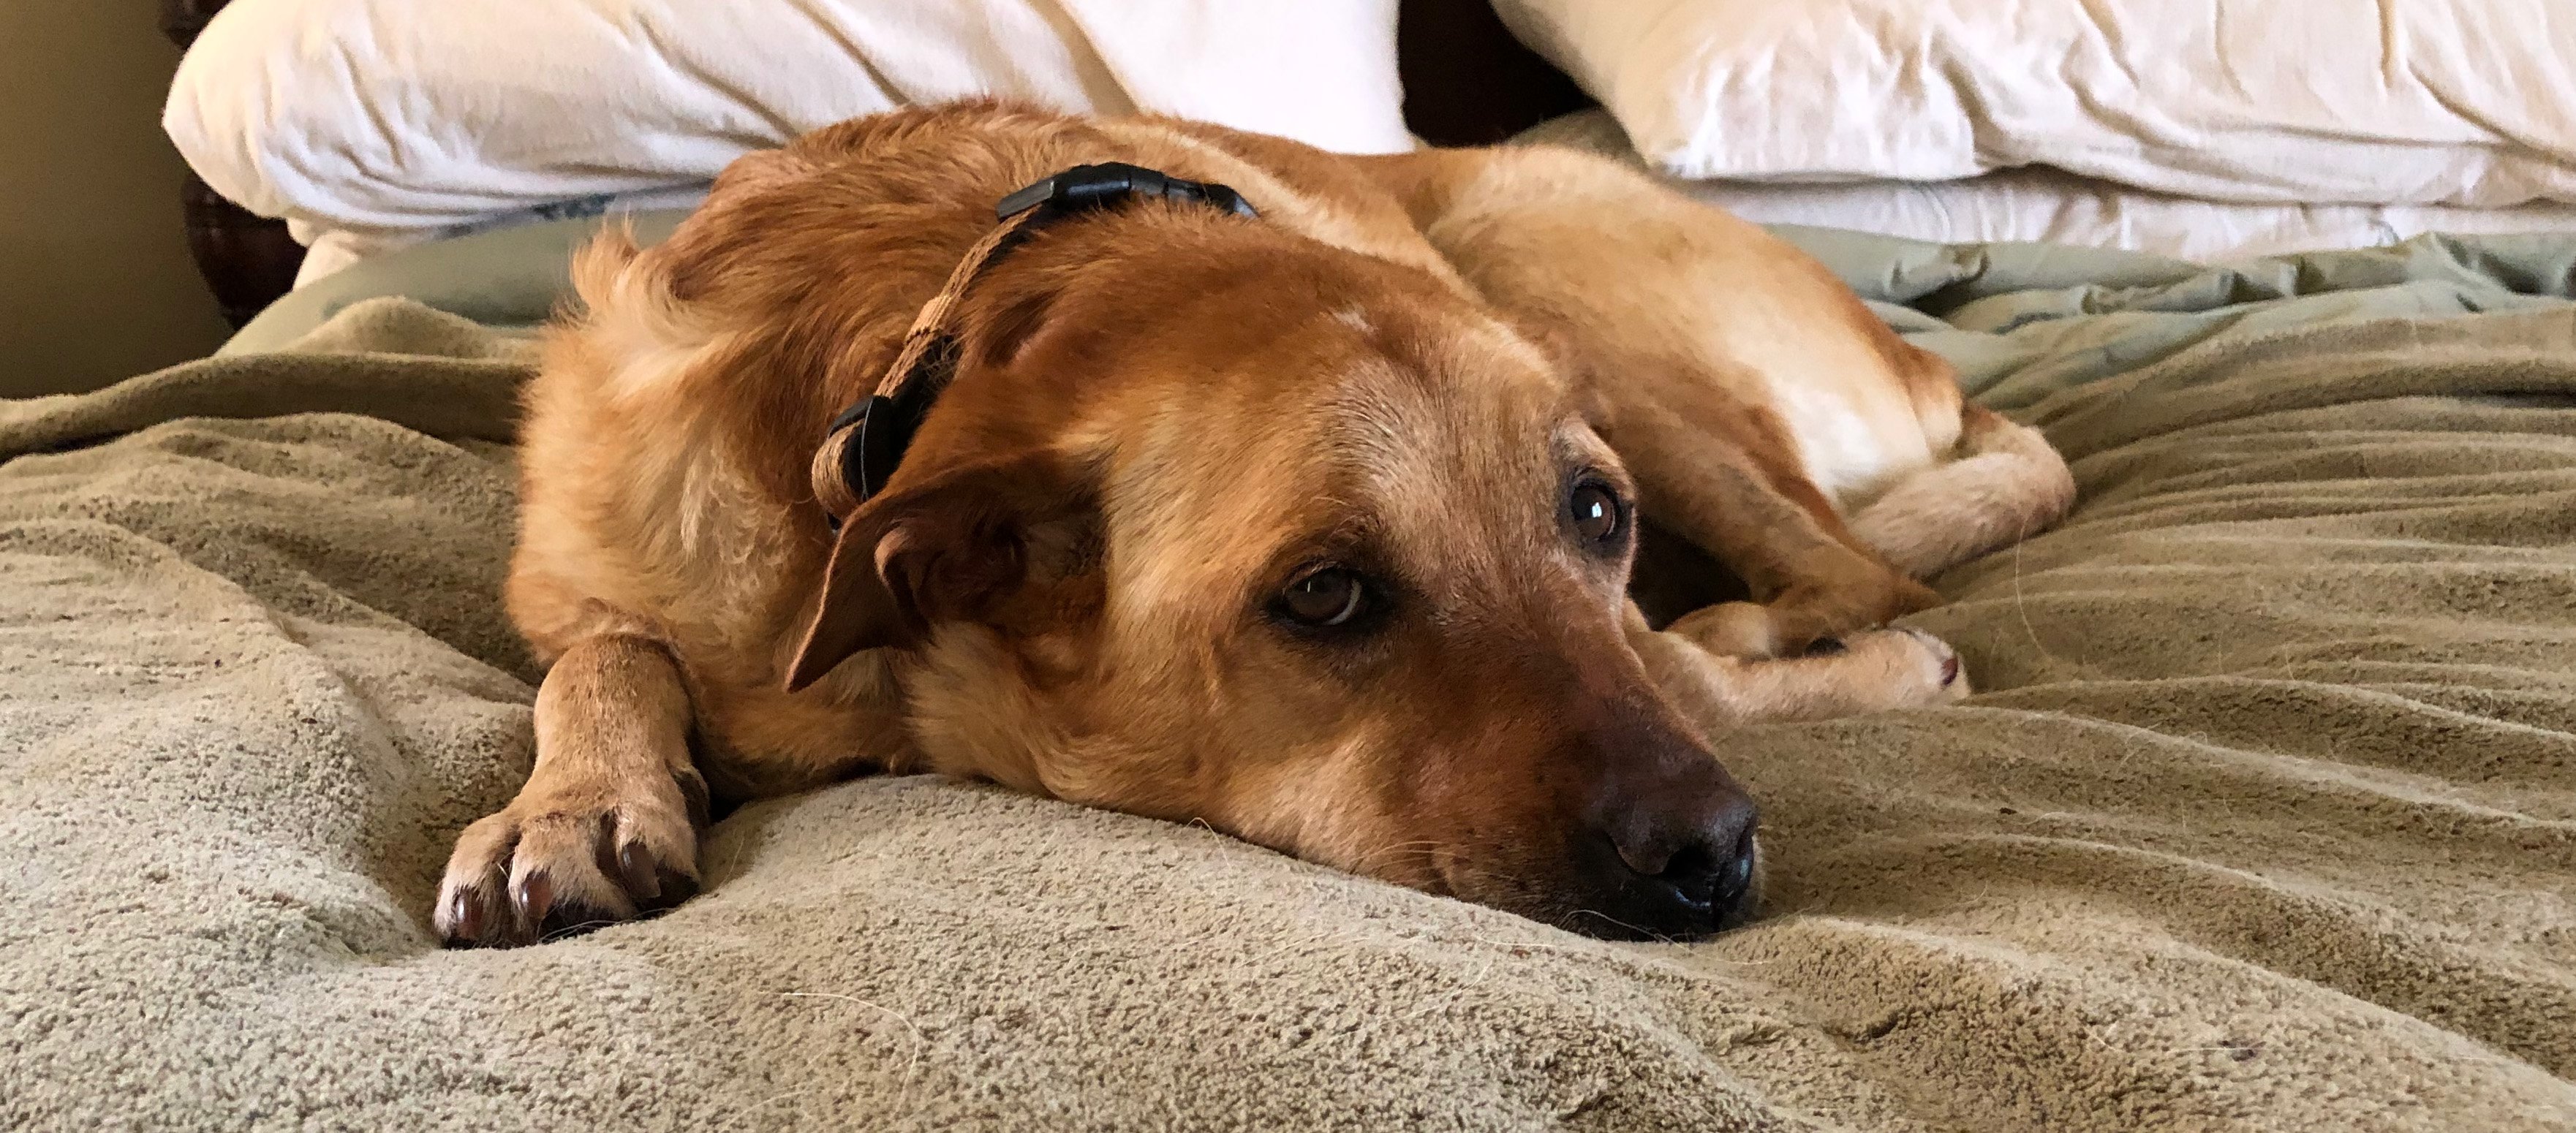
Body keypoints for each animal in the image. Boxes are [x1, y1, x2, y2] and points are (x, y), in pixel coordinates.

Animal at [434, 102, 2074, 947]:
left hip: (1547, 260)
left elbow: (1682, 663)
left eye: (1593, 511)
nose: (1713, 857)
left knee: (1841, 580)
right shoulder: (594, 569)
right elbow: (601, 653)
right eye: (1328, 593)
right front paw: (572, 798)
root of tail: (1927, 363)